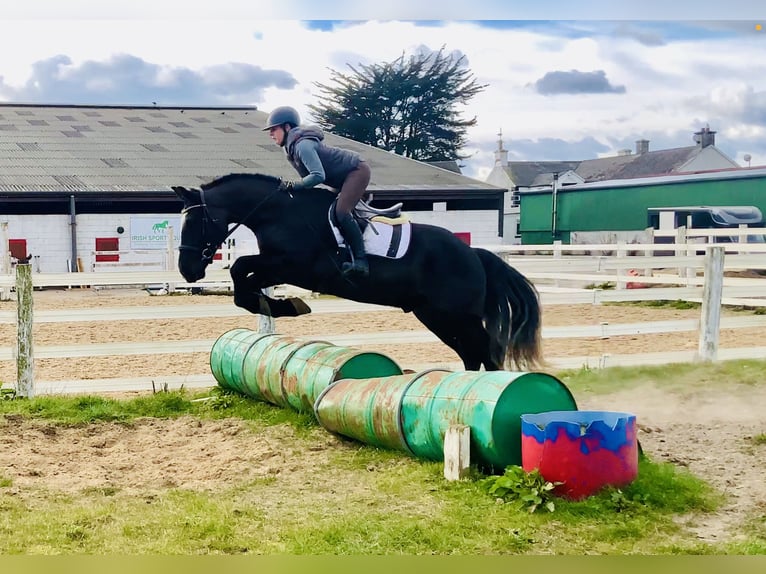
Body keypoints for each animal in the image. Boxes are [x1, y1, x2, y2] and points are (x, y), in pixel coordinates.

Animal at [174, 173, 544, 374]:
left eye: (196, 221)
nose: (187, 271)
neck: (278, 213)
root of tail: (474, 254)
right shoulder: (278, 267)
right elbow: (243, 279)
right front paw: (277, 305)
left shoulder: (295, 267)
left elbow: (240, 270)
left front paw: (283, 306)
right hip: (436, 315)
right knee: (472, 352)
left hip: (456, 315)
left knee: (486, 349)